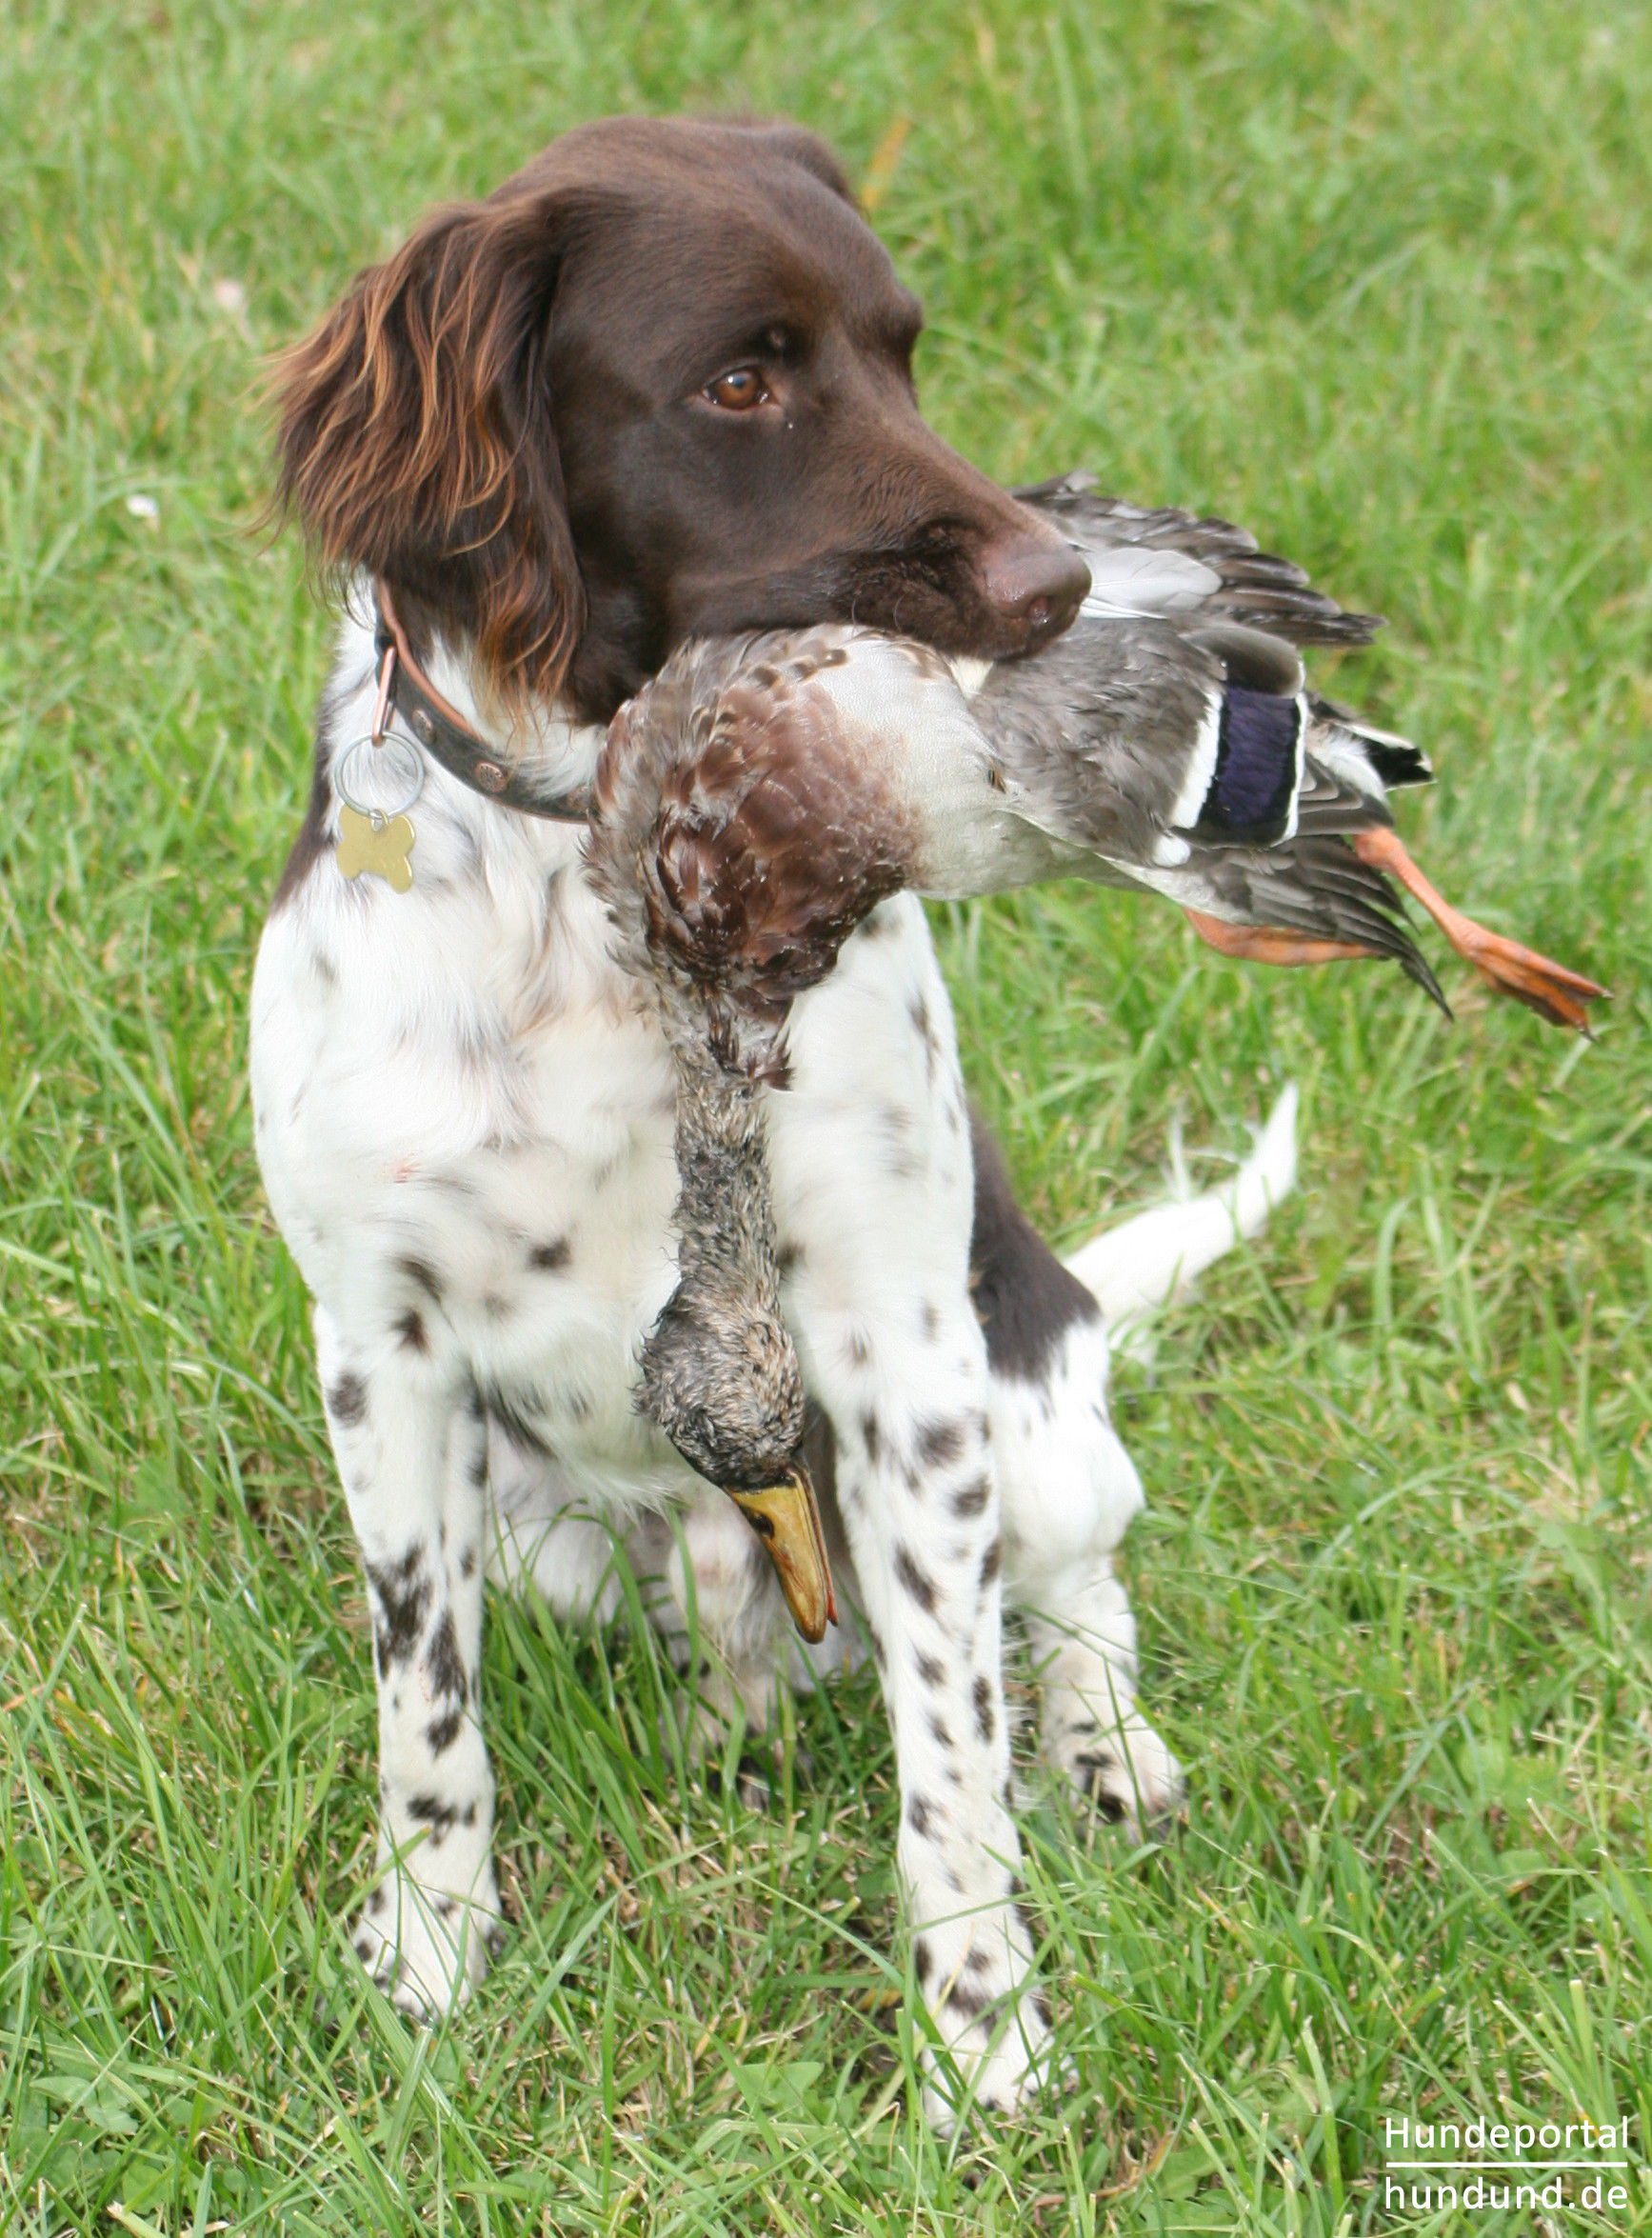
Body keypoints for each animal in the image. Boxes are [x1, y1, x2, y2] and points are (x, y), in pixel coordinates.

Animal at [253, 122, 1208, 2112]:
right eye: (741, 383)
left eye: (907, 351)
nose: (1063, 585)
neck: (590, 868)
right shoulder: (377, 1349)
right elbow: (423, 1717)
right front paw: (429, 1966)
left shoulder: (900, 1343)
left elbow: (954, 1759)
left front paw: (983, 2044)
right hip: (545, 1536)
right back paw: (732, 1731)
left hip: (1031, 1410)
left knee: (1077, 1591)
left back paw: (1107, 1750)